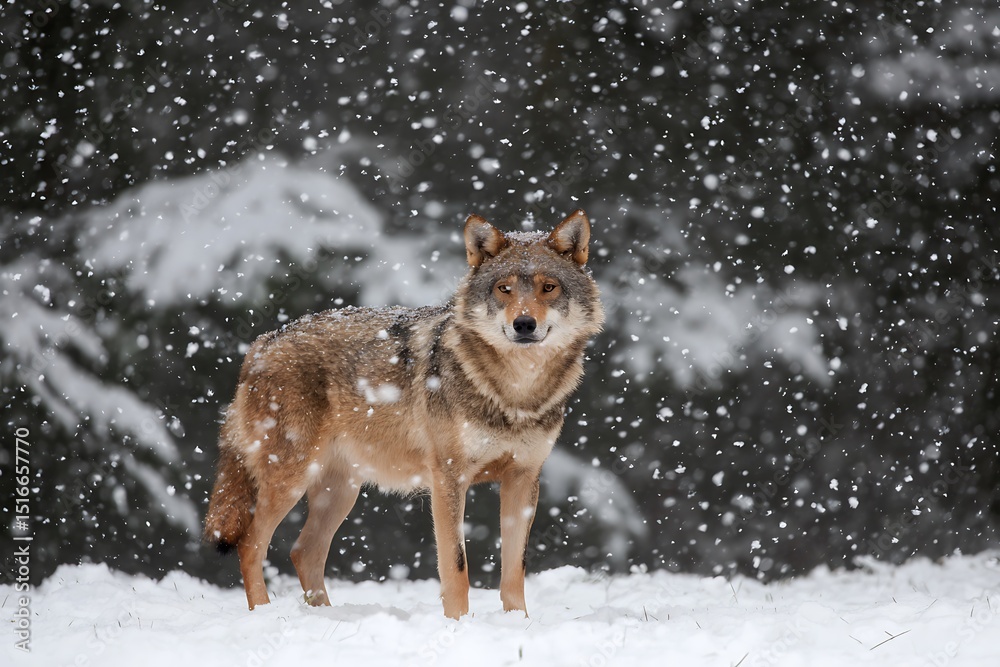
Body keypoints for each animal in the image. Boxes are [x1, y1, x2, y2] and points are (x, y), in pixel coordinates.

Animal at [204, 210, 604, 618]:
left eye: (549, 288)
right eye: (503, 289)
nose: (523, 324)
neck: (516, 392)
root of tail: (262, 343)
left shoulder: (523, 478)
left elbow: (514, 570)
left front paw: (516, 623)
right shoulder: (448, 478)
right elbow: (456, 566)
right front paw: (458, 624)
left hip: (341, 490)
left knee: (304, 552)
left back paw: (326, 616)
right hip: (291, 478)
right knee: (251, 545)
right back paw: (264, 614)